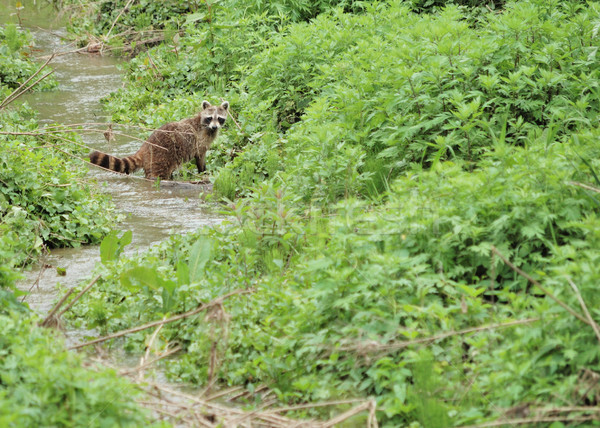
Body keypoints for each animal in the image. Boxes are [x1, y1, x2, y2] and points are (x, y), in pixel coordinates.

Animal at [90, 100, 229, 179]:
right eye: (210, 118)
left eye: (219, 118)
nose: (215, 126)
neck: (205, 126)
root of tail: (145, 146)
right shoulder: (200, 139)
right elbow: (200, 157)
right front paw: (203, 171)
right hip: (160, 157)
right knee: (158, 174)